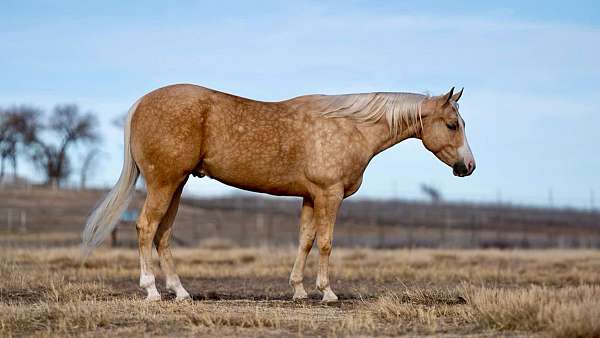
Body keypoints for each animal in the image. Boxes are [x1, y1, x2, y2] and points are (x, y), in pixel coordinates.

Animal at [81, 83, 474, 302]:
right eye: (452, 125)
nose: (468, 167)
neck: (350, 127)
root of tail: (142, 103)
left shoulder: (310, 197)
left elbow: (305, 241)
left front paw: (298, 290)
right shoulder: (329, 195)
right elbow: (326, 243)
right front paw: (326, 292)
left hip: (176, 185)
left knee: (162, 235)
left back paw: (180, 292)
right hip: (163, 183)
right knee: (146, 228)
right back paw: (150, 290)